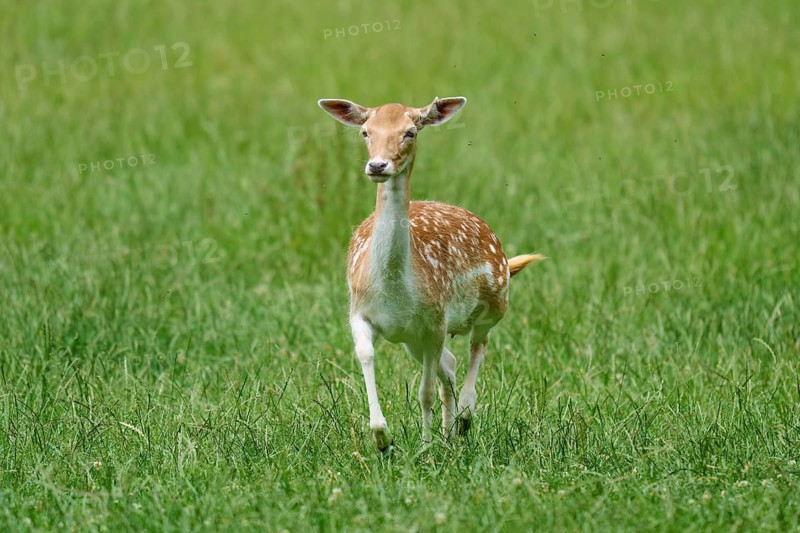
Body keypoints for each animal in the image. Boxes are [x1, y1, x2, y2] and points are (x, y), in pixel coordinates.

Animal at [318, 96, 544, 451]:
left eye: (410, 132)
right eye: (366, 132)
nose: (378, 166)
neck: (394, 289)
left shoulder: (435, 322)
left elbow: (424, 392)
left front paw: (424, 448)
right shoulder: (359, 312)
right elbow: (366, 355)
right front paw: (383, 438)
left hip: (496, 302)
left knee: (478, 345)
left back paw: (463, 418)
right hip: (412, 338)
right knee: (449, 365)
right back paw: (450, 434)